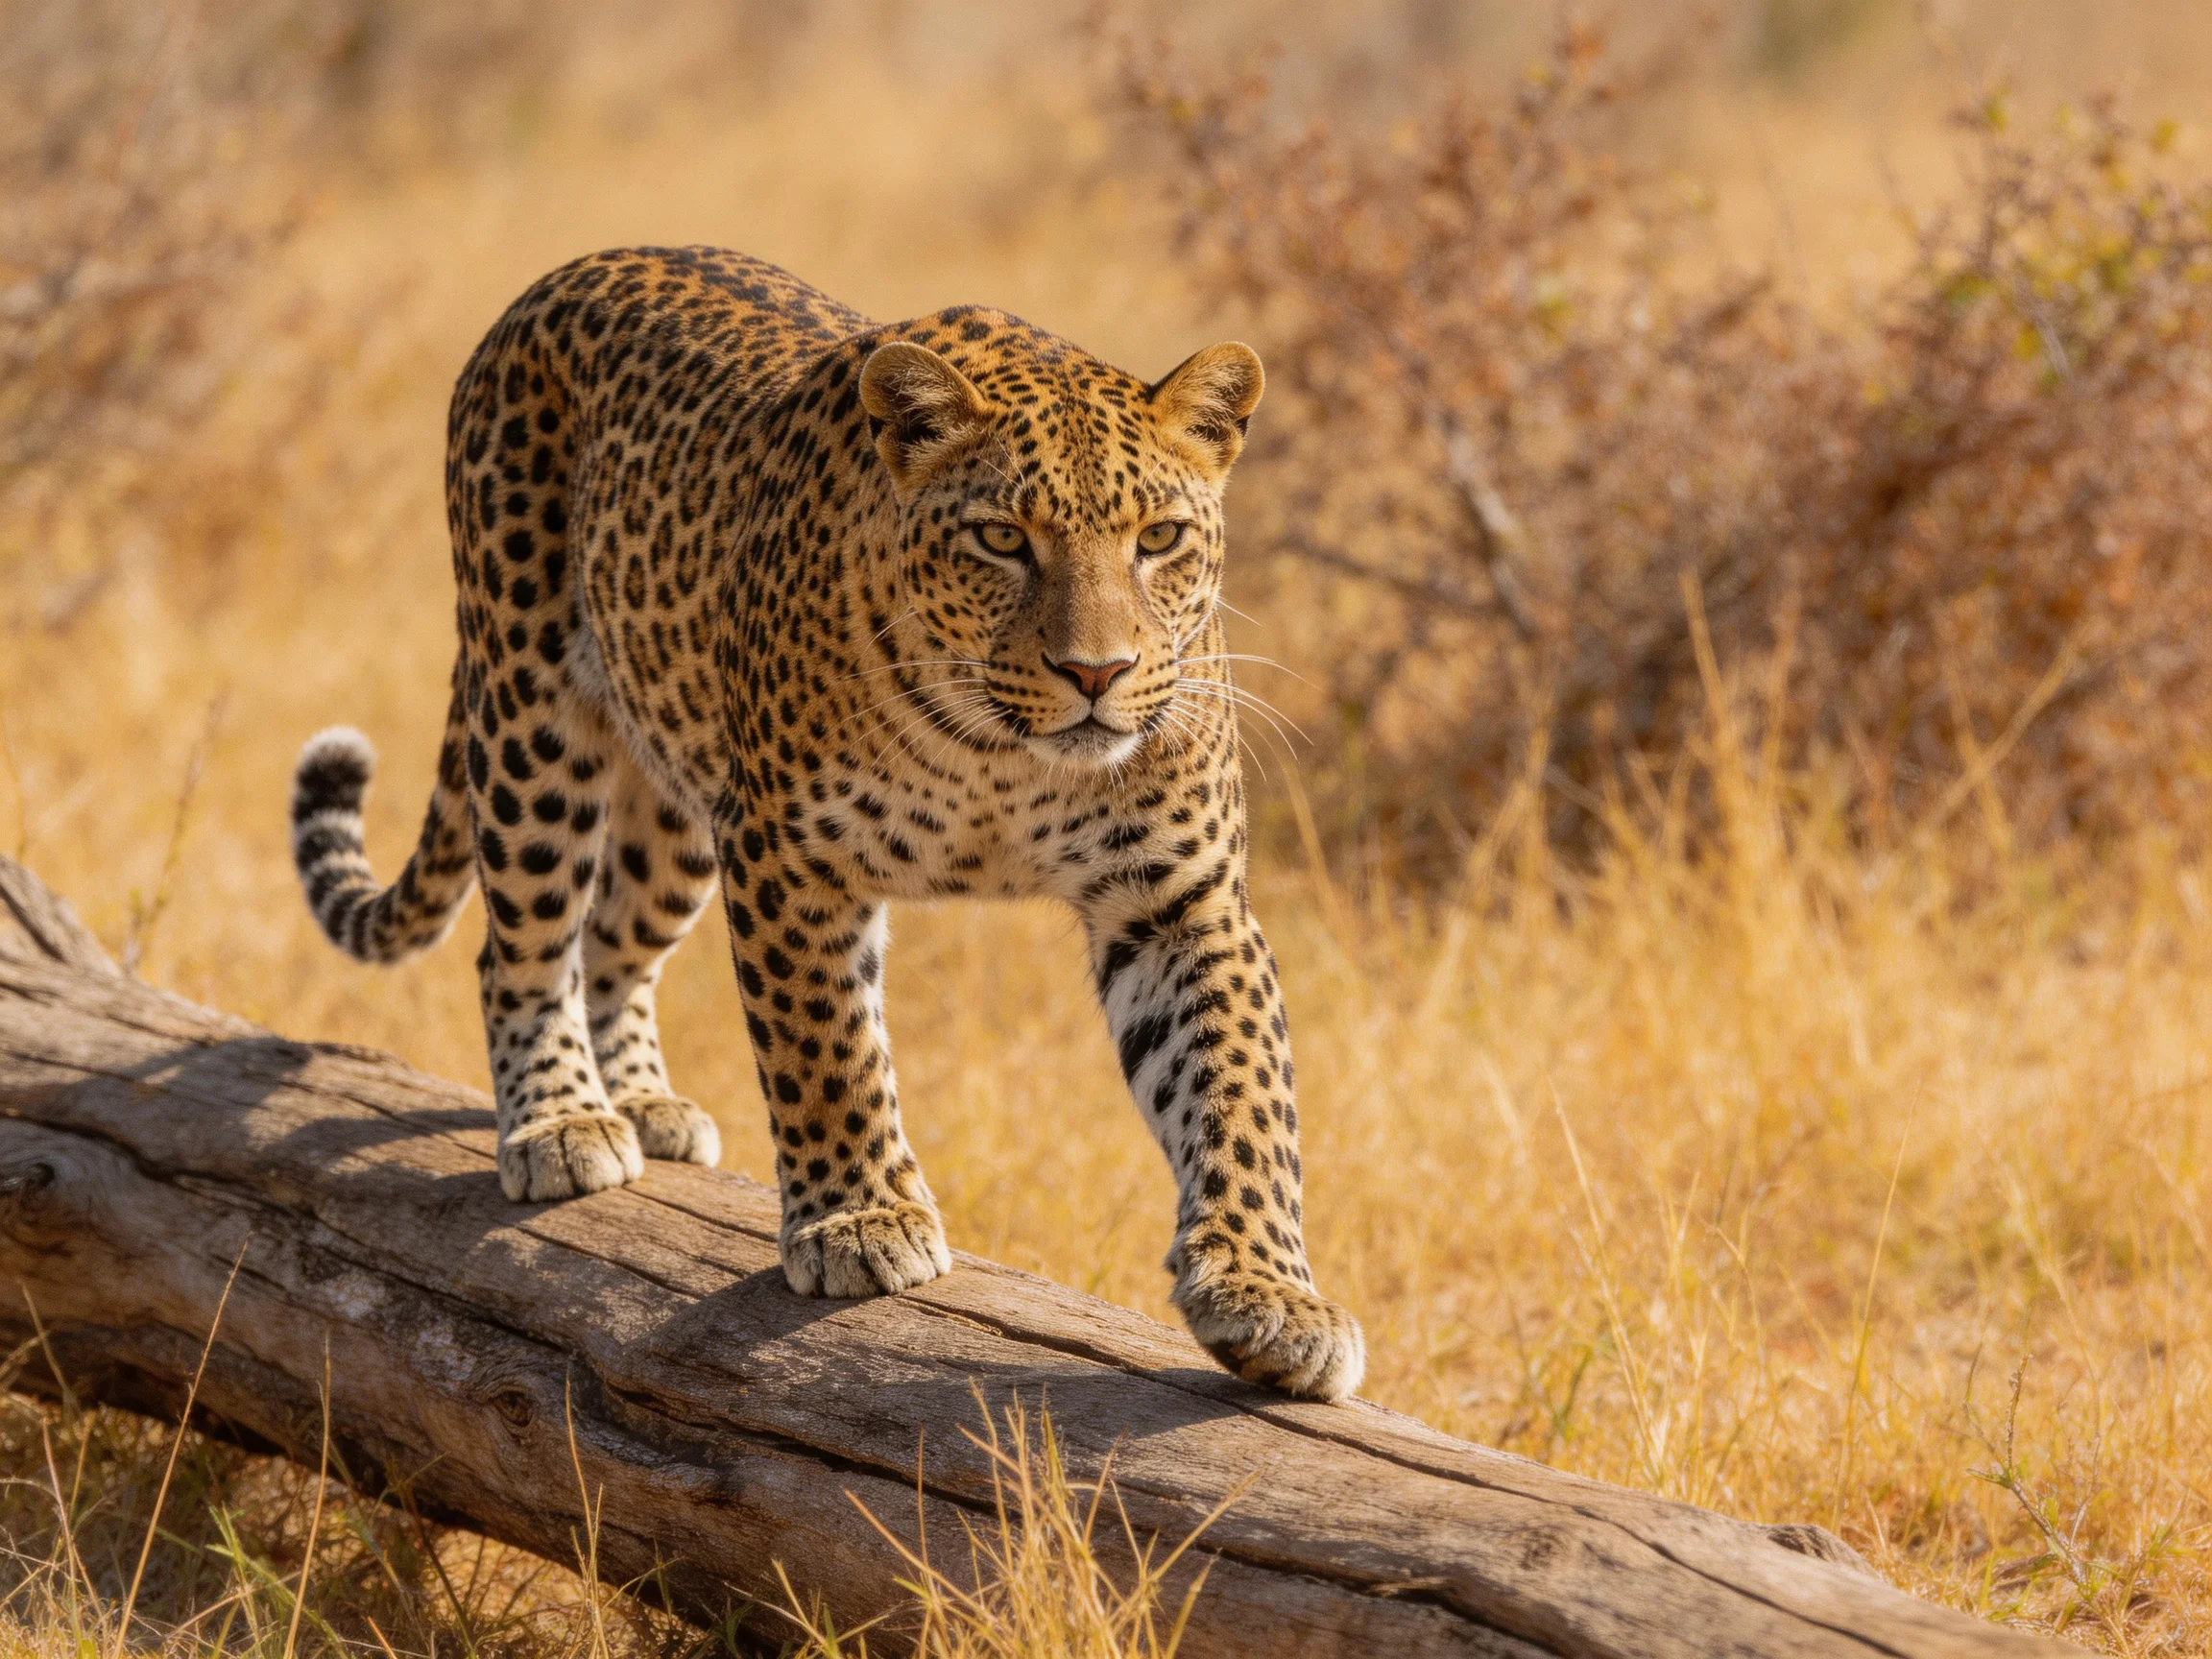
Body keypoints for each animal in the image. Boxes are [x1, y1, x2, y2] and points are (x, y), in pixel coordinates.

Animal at [287, 246, 1364, 1400]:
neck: (1005, 757)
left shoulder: (1179, 898)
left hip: (678, 799)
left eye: (1158, 538)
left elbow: (1240, 1093)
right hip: (534, 718)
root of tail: (564, 274)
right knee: (522, 944)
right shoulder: (788, 854)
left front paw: (1270, 1294)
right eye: (1002, 539)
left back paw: (647, 1103)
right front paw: (860, 1218)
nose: (1096, 673)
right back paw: (563, 1120)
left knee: (614, 938)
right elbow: (826, 1047)